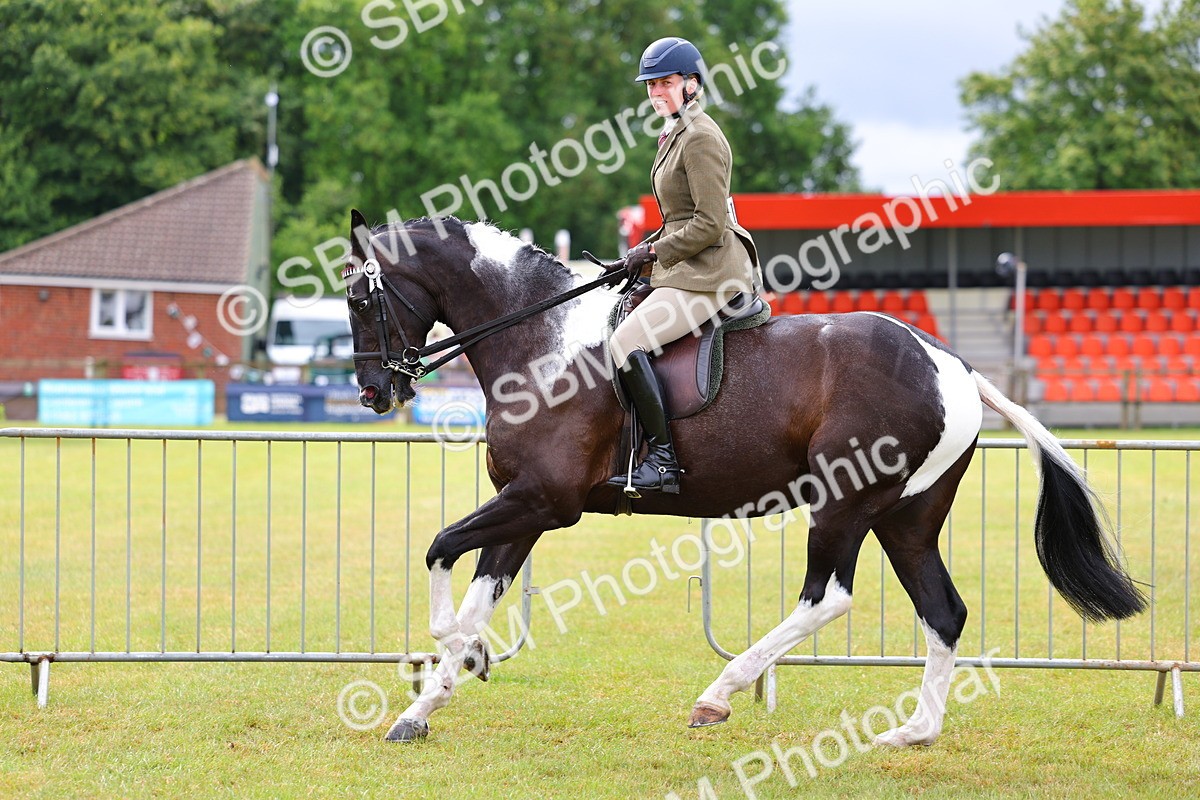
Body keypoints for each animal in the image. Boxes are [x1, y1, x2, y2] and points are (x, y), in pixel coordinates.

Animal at [341, 209, 1145, 745]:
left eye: (357, 298)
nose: (376, 392)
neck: (541, 337)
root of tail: (952, 362)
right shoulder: (526, 504)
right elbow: (476, 588)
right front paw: (427, 702)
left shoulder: (544, 499)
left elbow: (441, 552)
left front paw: (457, 656)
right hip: (906, 519)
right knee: (942, 612)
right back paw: (913, 731)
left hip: (843, 503)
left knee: (827, 597)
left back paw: (720, 693)